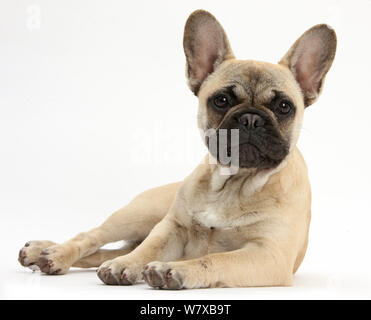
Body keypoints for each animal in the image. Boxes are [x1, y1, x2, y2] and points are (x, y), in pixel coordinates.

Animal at [18, 10, 338, 290]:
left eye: (284, 107)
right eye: (221, 100)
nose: (250, 119)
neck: (233, 184)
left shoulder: (268, 254)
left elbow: (217, 259)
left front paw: (175, 269)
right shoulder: (171, 228)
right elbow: (149, 248)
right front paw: (128, 264)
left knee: (102, 253)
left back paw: (43, 254)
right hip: (136, 215)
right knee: (92, 238)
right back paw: (53, 252)